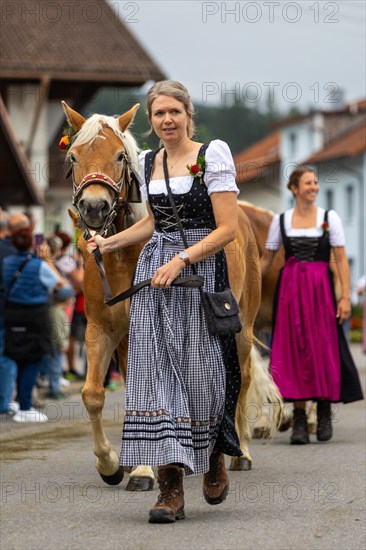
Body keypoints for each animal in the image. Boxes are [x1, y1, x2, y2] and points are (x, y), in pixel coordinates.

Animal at [61, 101, 284, 490]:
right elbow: (93, 394)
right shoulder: (101, 329)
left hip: (241, 325)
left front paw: (142, 469)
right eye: (74, 156)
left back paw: (239, 450)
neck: (121, 257)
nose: (93, 207)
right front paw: (110, 463)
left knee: (240, 379)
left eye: (120, 156)